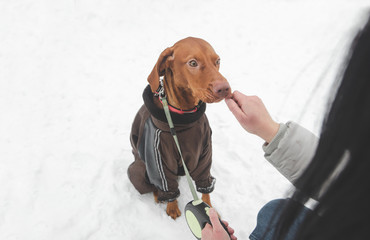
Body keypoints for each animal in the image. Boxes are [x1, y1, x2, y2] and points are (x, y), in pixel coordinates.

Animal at [129, 37, 230, 219]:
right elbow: (167, 186)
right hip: (138, 172)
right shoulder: (159, 159)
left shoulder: (205, 154)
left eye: (218, 61)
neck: (184, 118)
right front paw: (172, 207)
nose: (224, 88)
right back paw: (159, 196)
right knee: (154, 186)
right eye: (193, 63)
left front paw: (210, 209)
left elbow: (205, 187)